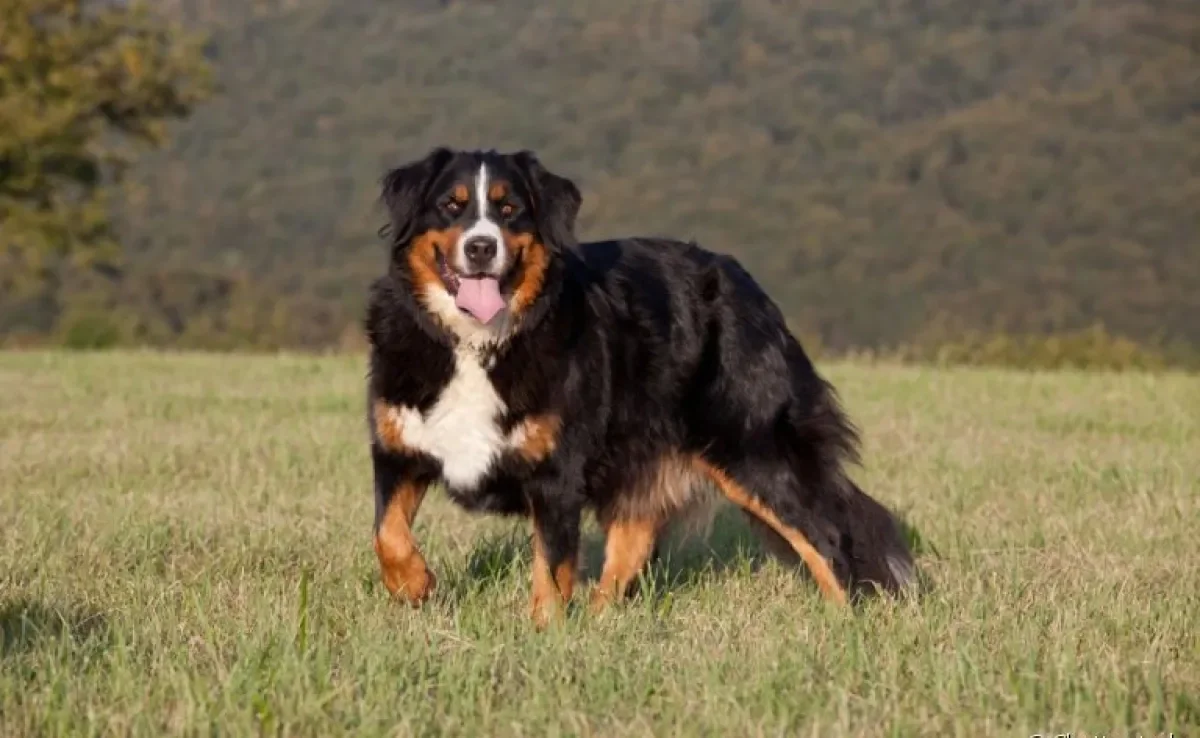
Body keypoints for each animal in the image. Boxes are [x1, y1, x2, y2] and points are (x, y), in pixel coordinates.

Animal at [360, 147, 912, 628]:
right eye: (450, 206)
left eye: (509, 209)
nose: (480, 246)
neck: (476, 342)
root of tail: (747, 284)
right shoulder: (397, 446)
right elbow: (387, 533)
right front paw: (415, 586)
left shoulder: (557, 473)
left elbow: (551, 567)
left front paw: (545, 634)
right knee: (633, 541)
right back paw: (602, 623)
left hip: (754, 447)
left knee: (826, 538)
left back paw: (844, 625)